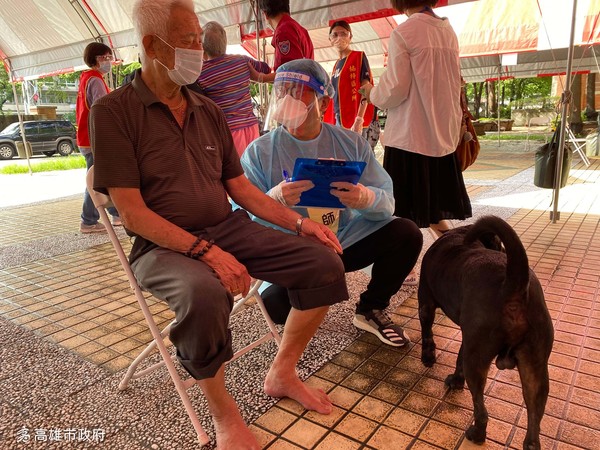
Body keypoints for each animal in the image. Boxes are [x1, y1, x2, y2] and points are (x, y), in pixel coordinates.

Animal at [418, 216, 552, 448]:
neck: (461, 233)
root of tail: (513, 287)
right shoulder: (468, 336)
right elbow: (459, 357)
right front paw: (456, 379)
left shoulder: (425, 302)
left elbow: (427, 333)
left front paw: (428, 358)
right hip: (535, 369)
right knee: (533, 427)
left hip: (478, 362)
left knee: (481, 411)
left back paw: (477, 434)